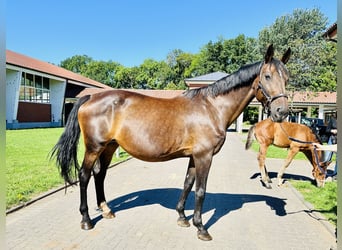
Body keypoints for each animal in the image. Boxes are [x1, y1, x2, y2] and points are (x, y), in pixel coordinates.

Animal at [51, 44, 292, 240]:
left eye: (287, 78)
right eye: (267, 76)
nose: (281, 112)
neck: (212, 108)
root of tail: (90, 97)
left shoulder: (194, 156)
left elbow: (187, 184)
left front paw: (182, 217)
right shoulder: (204, 156)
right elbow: (201, 190)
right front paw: (201, 228)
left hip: (109, 147)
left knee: (99, 175)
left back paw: (106, 210)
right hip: (94, 147)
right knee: (84, 176)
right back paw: (86, 220)